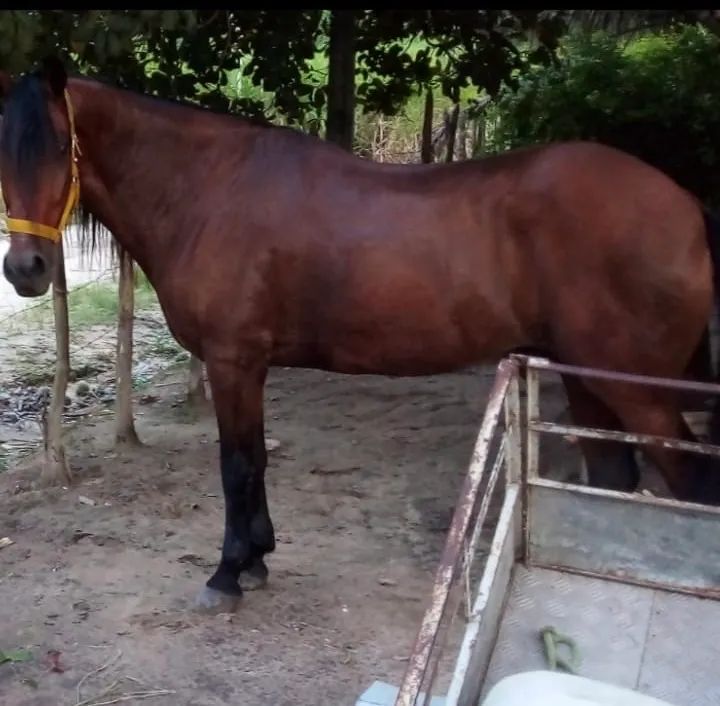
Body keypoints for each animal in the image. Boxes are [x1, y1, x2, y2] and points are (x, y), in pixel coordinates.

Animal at [2, 56, 720, 613]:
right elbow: (256, 458)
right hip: (584, 377)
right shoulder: (249, 366)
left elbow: (236, 466)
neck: (207, 190)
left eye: (57, 146)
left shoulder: (233, 361)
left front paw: (228, 574)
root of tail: (684, 202)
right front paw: (258, 559)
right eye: (5, 152)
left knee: (689, 487)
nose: (25, 269)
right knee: (612, 477)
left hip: (639, 391)